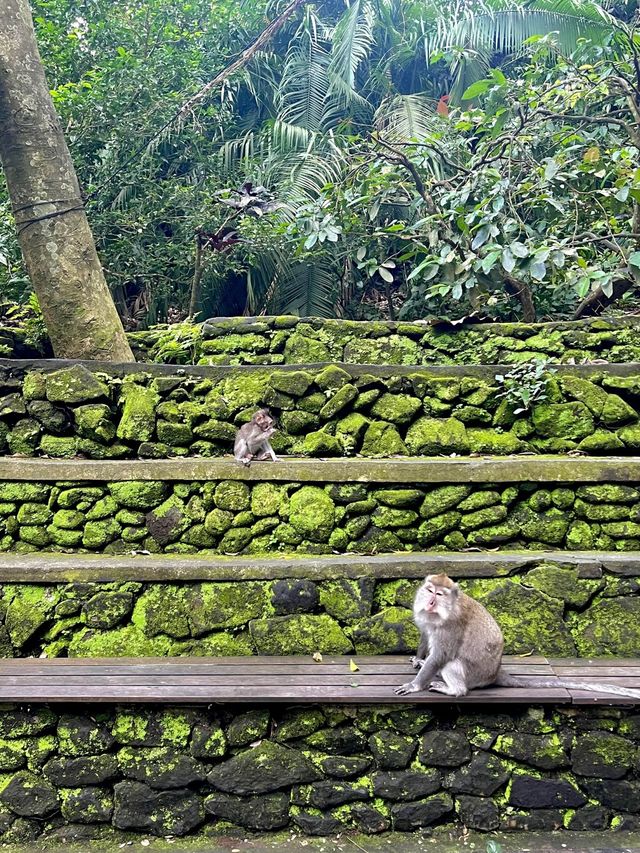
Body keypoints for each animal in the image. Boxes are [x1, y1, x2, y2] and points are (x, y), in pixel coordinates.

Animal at [396, 572, 640, 700]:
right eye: (429, 591)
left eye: (439, 594)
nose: (430, 602)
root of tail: (496, 672)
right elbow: (426, 636)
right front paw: (419, 659)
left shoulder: (451, 626)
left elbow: (441, 655)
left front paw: (415, 685)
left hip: (474, 676)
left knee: (450, 664)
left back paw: (454, 689)